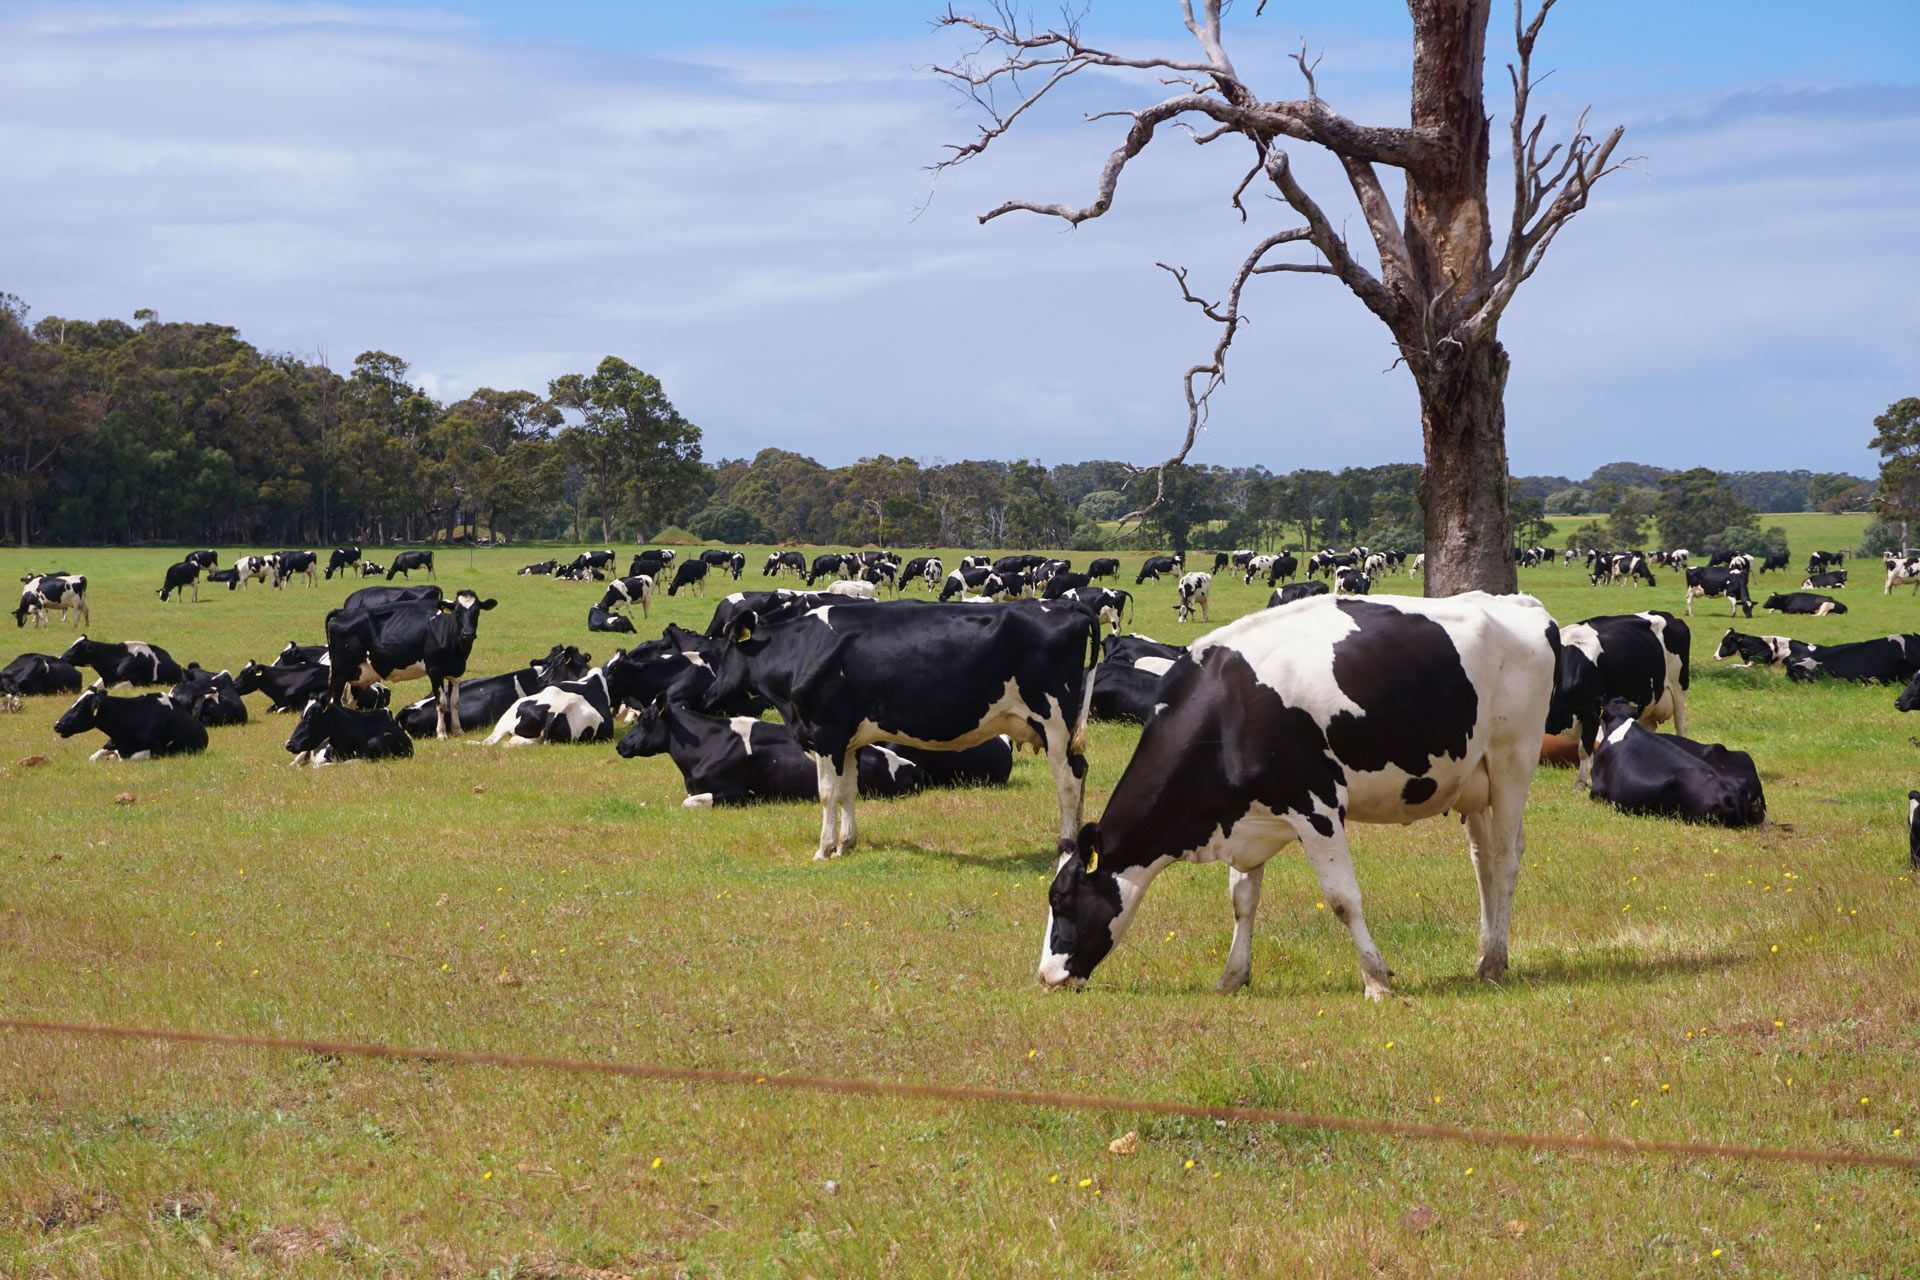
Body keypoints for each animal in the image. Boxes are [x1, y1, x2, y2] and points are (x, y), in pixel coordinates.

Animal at [323, 589, 498, 738]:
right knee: (335, 701)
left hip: (358, 672)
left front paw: (458, 730)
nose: (468, 633)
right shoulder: (434, 670)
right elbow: (441, 702)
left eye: (476, 612)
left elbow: (454, 702)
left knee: (350, 701)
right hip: (340, 670)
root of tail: (342, 612)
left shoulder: (456, 672)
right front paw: (441, 733)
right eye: (458, 613)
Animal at [703, 597, 1097, 859]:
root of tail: (1066, 606)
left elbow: (827, 793)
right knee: (1081, 771)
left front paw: (824, 849)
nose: (708, 695)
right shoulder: (848, 739)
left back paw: (1065, 847)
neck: (804, 649)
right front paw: (847, 844)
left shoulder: (826, 733)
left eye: (722, 654)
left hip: (1054, 723)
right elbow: (848, 790)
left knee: (1067, 782)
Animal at [1038, 592, 1560, 998]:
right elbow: (1242, 900)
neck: (1230, 710)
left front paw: (1377, 980)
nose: (1046, 976)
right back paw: (1487, 955)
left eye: (1061, 900)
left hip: (1513, 761)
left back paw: (1494, 962)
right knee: (1482, 861)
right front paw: (1232, 977)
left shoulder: (1317, 805)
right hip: (1474, 781)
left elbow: (1342, 899)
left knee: (1506, 858)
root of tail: (1522, 605)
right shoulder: (1246, 818)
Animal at [1546, 611, 1691, 787]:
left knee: (1681, 726)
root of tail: (1670, 616)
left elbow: (1584, 747)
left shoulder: (1591, 709)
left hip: (1679, 689)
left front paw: (1580, 783)